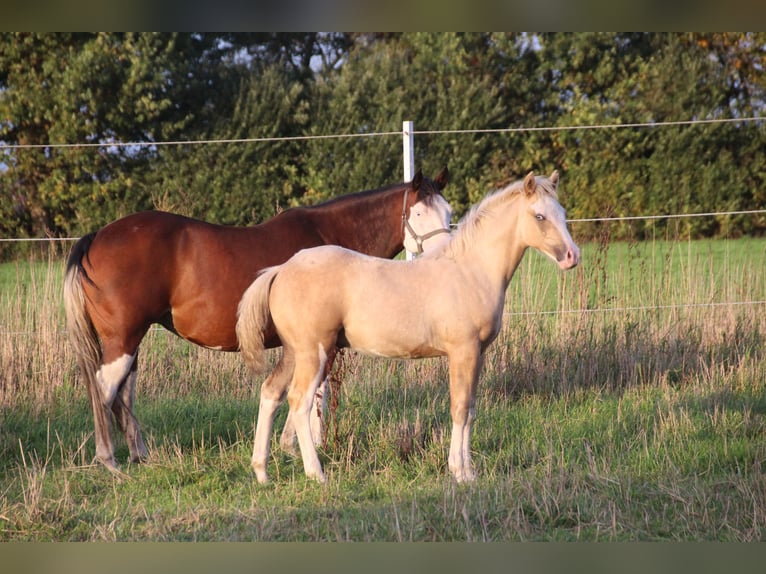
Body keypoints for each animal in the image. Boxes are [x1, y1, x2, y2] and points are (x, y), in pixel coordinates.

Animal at [64, 168, 452, 470]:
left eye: (448, 212)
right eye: (418, 214)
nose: (443, 256)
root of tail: (97, 237)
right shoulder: (319, 344)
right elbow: (315, 393)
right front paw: (306, 448)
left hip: (131, 340)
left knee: (123, 393)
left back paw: (139, 455)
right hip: (123, 339)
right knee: (104, 389)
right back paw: (109, 461)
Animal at [236, 170, 580, 484]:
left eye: (562, 214)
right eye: (539, 216)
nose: (572, 256)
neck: (469, 270)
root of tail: (281, 269)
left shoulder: (478, 354)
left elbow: (469, 410)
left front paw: (469, 472)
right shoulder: (463, 351)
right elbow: (459, 407)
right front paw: (460, 473)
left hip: (294, 352)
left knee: (271, 392)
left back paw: (262, 472)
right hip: (314, 351)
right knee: (299, 401)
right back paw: (316, 474)